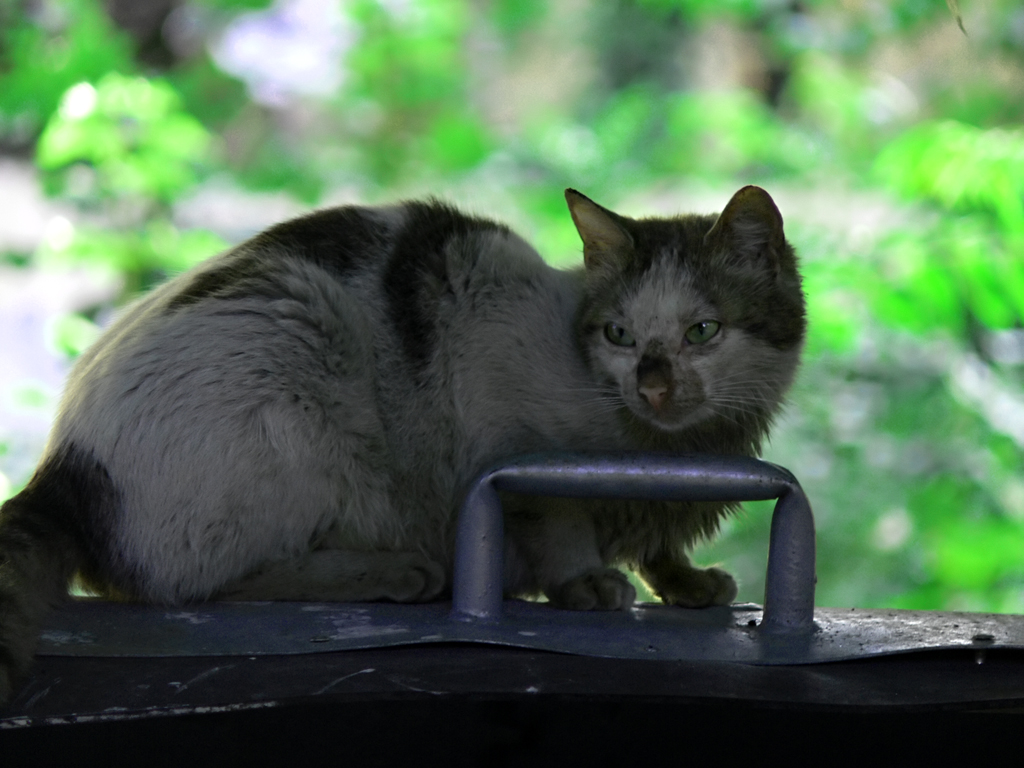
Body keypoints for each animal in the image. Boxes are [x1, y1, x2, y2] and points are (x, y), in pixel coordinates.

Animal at [0, 186, 806, 704]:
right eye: (620, 335)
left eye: (703, 331)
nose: (655, 386)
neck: (663, 444)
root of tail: (60, 467)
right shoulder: (502, 420)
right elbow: (557, 513)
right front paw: (582, 582)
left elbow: (659, 541)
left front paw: (686, 582)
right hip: (298, 354)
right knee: (202, 584)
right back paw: (398, 573)